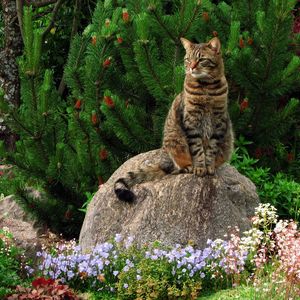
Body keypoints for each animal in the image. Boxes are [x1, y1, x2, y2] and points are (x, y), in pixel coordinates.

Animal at [113, 37, 233, 202]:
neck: (207, 88)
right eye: (188, 59)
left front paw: (208, 167)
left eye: (201, 60)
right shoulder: (191, 122)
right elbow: (197, 149)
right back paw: (188, 167)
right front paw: (199, 168)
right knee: (176, 168)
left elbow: (210, 149)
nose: (191, 68)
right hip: (175, 142)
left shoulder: (219, 122)